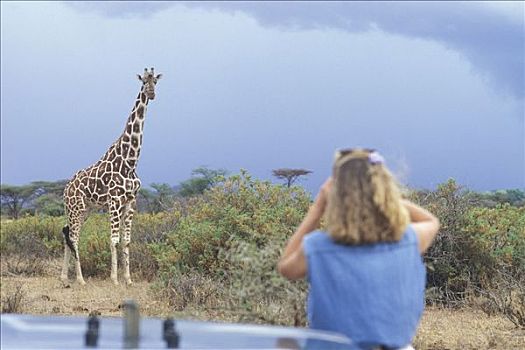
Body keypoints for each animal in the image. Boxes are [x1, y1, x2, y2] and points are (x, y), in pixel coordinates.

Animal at [61, 67, 161, 284]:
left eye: (155, 82)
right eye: (143, 81)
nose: (151, 94)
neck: (130, 161)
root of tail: (66, 189)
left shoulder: (130, 201)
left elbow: (126, 241)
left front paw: (128, 279)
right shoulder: (114, 201)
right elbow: (114, 240)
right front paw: (114, 279)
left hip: (85, 210)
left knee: (67, 232)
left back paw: (64, 278)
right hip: (76, 208)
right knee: (73, 237)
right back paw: (80, 279)